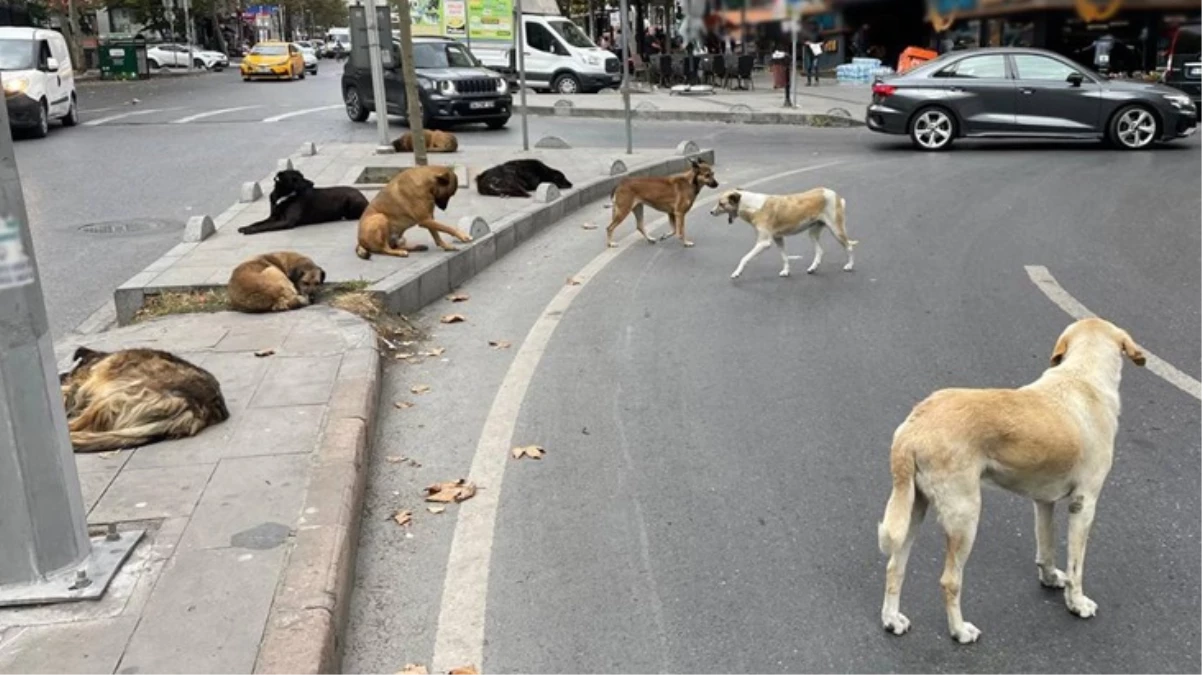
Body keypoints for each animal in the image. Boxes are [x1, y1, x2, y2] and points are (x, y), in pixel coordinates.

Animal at [234, 169, 365, 235]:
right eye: (295, 178)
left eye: (302, 176)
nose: (312, 183)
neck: (283, 195)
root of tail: (363, 196)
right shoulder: (273, 217)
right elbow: (258, 222)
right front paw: (246, 227)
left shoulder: (287, 221)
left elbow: (265, 226)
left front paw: (250, 230)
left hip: (352, 202)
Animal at [706, 184, 860, 277]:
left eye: (721, 203)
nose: (711, 212)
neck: (751, 206)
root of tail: (835, 194)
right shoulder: (778, 238)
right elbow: (784, 257)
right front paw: (786, 271)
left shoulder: (764, 243)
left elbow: (744, 258)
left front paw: (737, 273)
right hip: (813, 233)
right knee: (820, 251)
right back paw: (813, 268)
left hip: (836, 230)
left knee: (849, 247)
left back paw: (849, 265)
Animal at [879, 317, 1149, 643]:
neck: (1083, 376)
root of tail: (913, 427)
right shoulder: (1084, 504)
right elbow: (1076, 567)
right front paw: (1077, 603)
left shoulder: (1043, 501)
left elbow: (1046, 548)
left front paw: (1050, 579)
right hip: (965, 517)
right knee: (949, 581)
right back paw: (960, 631)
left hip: (913, 510)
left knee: (895, 566)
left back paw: (892, 620)